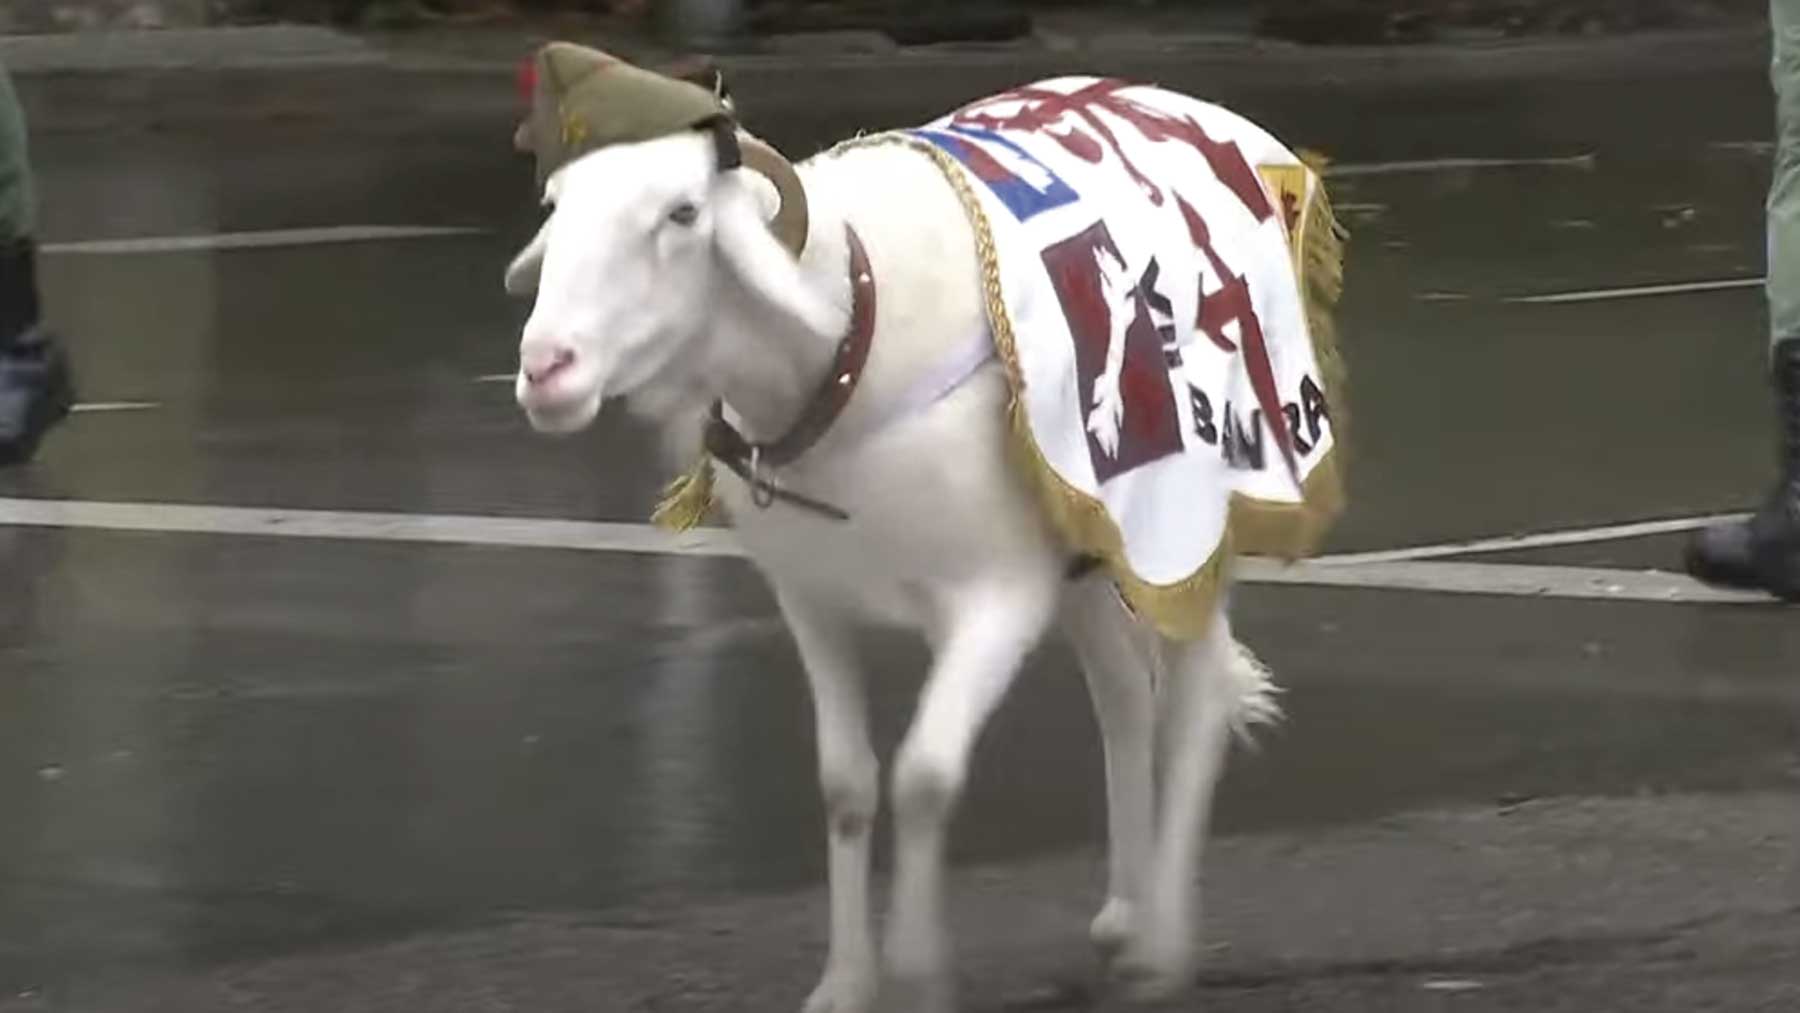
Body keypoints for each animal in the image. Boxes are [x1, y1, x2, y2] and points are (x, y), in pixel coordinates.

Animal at [507, 91, 1296, 1007]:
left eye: (682, 213)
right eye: (555, 204)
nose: (547, 369)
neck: (848, 335)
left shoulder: (999, 592)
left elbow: (924, 776)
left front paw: (917, 970)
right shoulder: (811, 596)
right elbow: (846, 785)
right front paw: (847, 981)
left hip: (1191, 518)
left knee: (1197, 696)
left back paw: (1160, 951)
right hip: (1090, 528)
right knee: (1123, 694)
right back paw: (1125, 915)